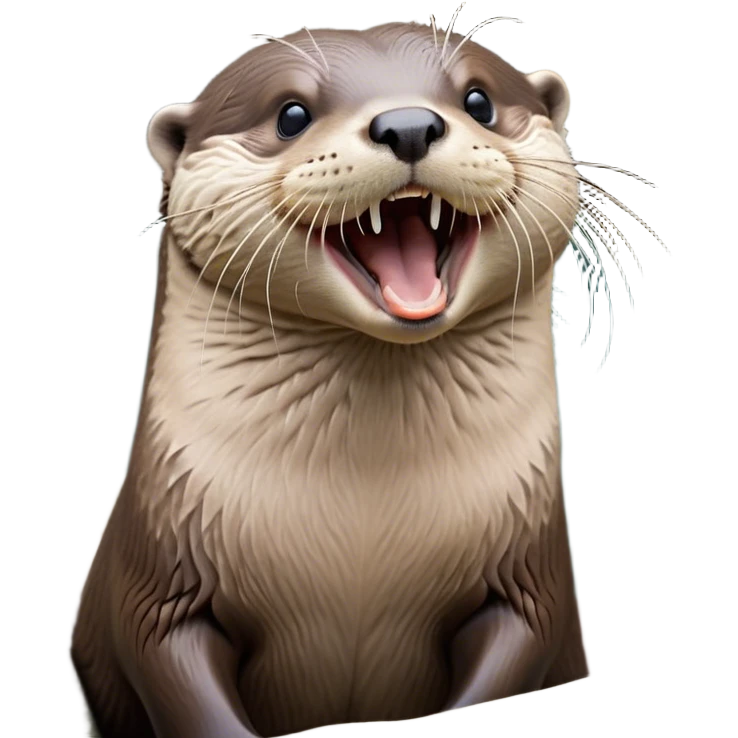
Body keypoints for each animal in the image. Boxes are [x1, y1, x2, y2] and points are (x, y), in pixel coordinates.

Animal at [69, 17, 603, 738]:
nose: (408, 125)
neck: (361, 527)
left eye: (480, 101)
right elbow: (171, 667)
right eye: (291, 114)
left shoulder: (529, 580)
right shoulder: (160, 581)